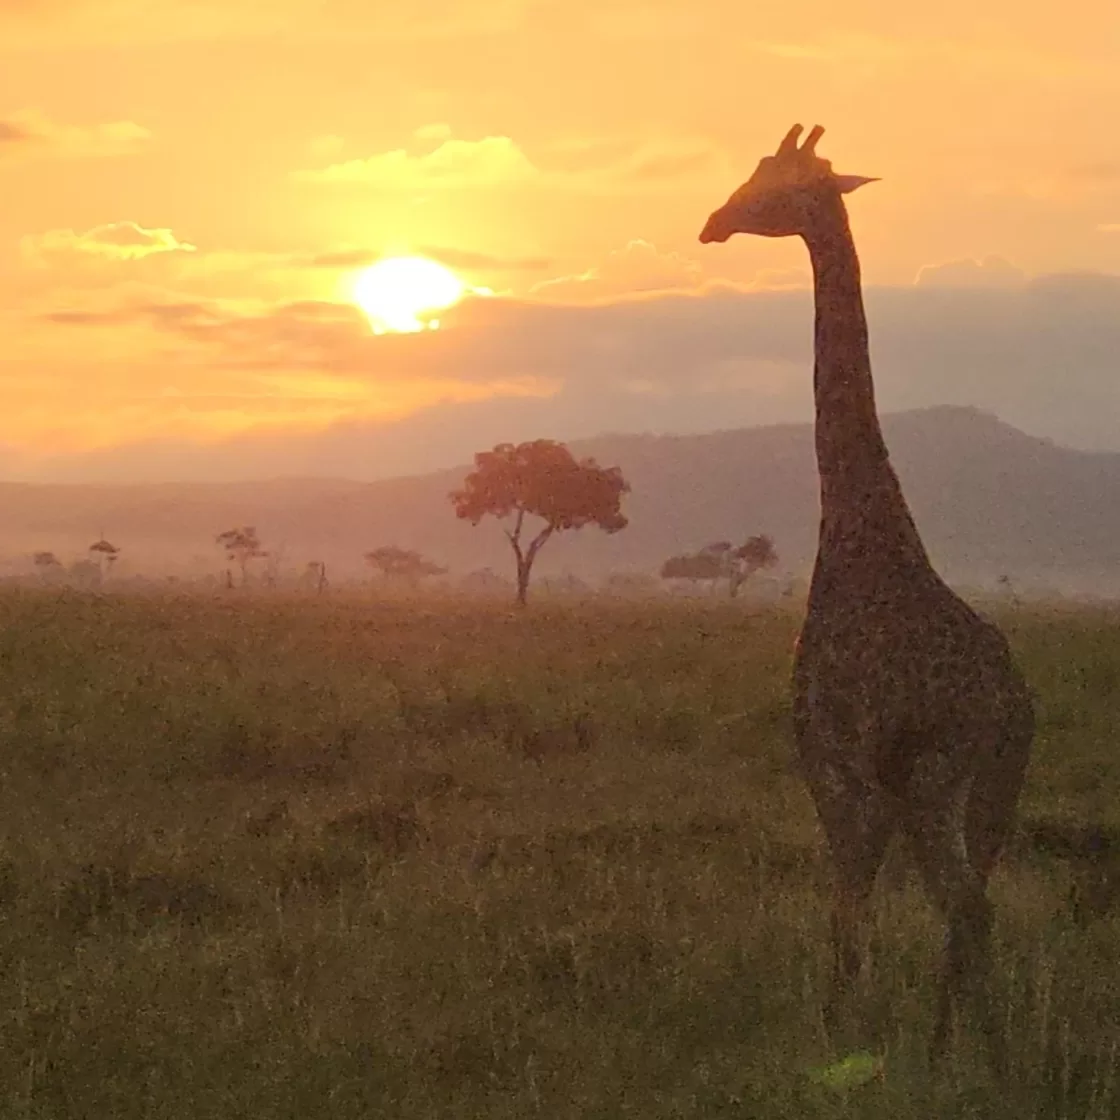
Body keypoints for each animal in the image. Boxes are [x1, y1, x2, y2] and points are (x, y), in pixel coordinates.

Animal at [699, 124, 1035, 1071]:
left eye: (776, 188)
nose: (713, 222)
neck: (862, 534)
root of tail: (1010, 703)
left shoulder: (836, 763)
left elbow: (848, 913)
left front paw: (835, 1042)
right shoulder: (871, 784)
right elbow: (867, 911)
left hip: (933, 779)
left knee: (964, 906)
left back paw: (972, 1059)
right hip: (992, 791)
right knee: (973, 908)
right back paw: (963, 1051)